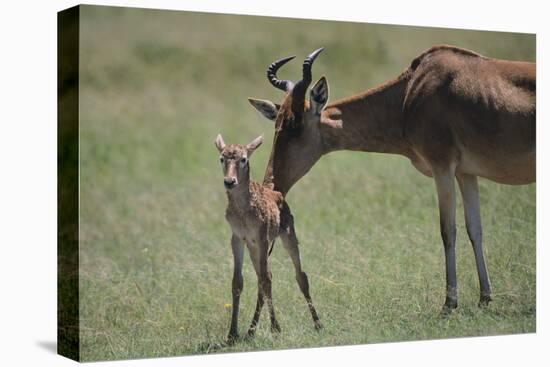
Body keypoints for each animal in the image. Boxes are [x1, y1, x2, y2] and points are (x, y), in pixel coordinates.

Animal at [215, 134, 322, 342]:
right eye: (222, 158)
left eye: (244, 159)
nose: (230, 181)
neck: (244, 210)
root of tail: (278, 193)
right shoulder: (238, 239)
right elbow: (238, 282)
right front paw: (232, 334)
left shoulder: (263, 238)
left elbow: (266, 280)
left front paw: (275, 328)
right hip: (253, 248)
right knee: (263, 278)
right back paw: (251, 330)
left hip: (287, 236)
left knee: (299, 275)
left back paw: (317, 323)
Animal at [251, 45, 540, 314]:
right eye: (277, 121)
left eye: (295, 123)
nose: (272, 184)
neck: (410, 92)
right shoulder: (465, 173)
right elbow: (475, 229)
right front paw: (484, 298)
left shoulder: (442, 168)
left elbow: (448, 230)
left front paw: (449, 304)